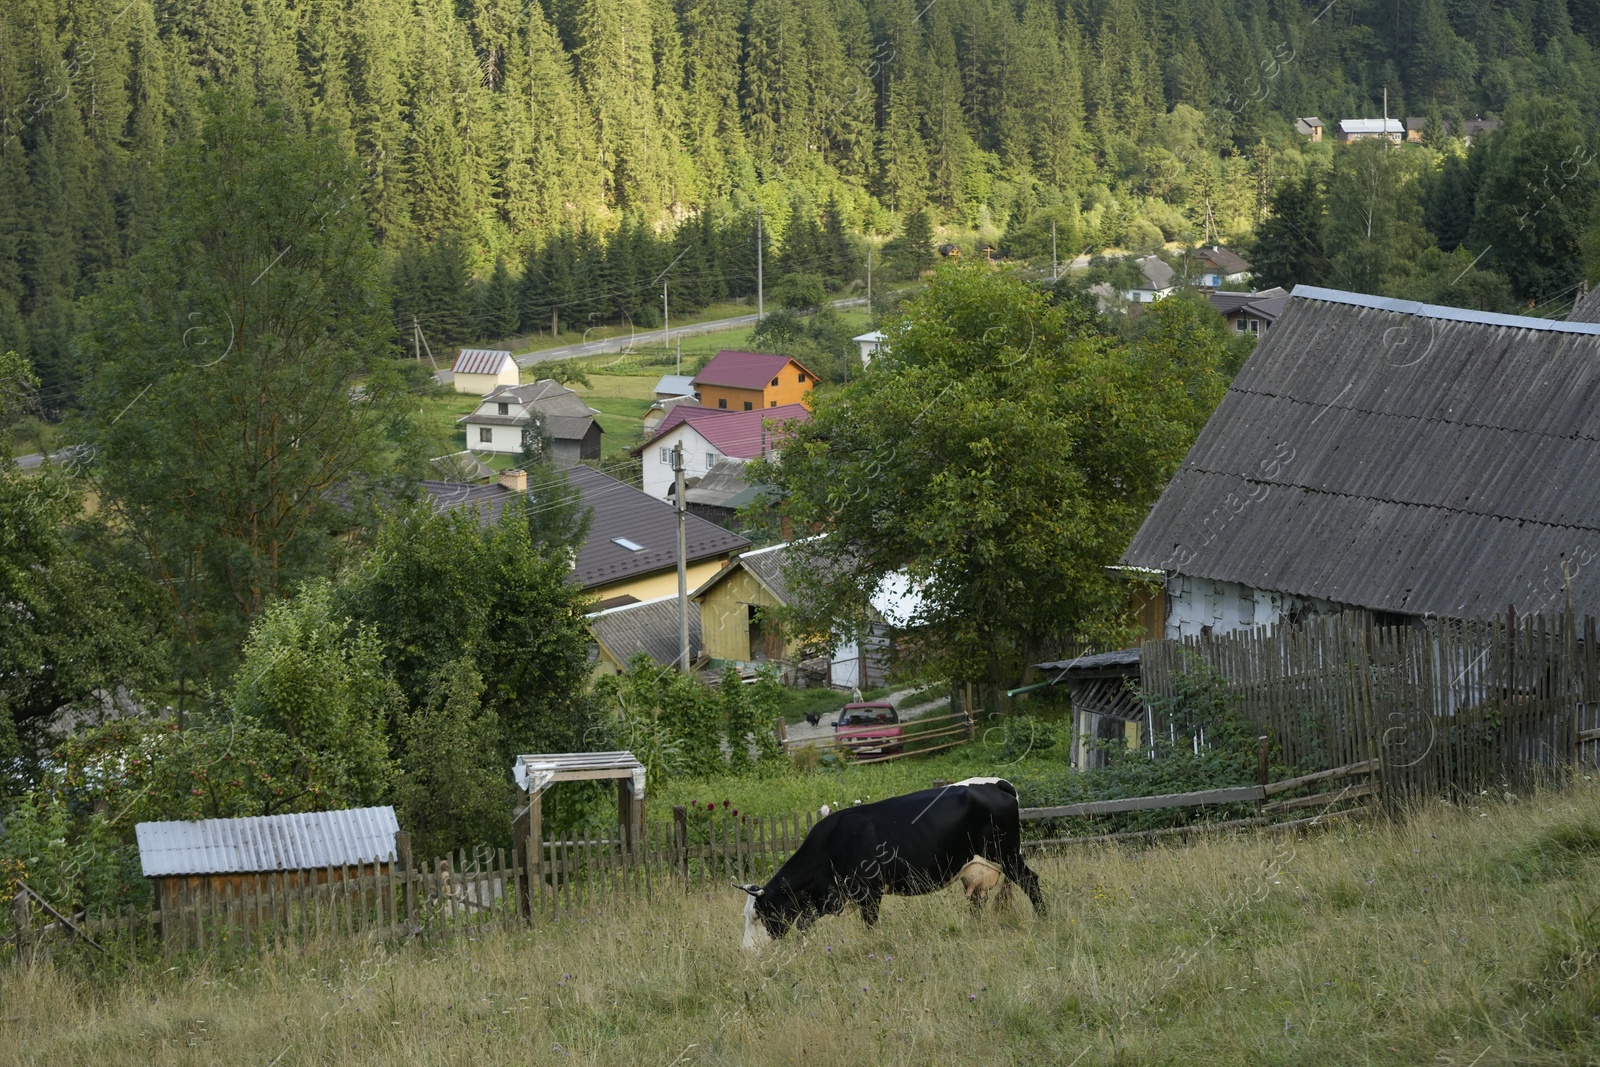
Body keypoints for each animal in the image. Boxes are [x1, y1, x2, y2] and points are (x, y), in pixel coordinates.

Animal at [732, 777, 1043, 953]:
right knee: (978, 900)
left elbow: (870, 925)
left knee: (1031, 882)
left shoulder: (869, 893)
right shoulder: (826, 899)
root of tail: (998, 784)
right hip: (979, 867)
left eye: (757, 916)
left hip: (1008, 856)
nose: (746, 951)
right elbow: (803, 925)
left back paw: (1044, 919)